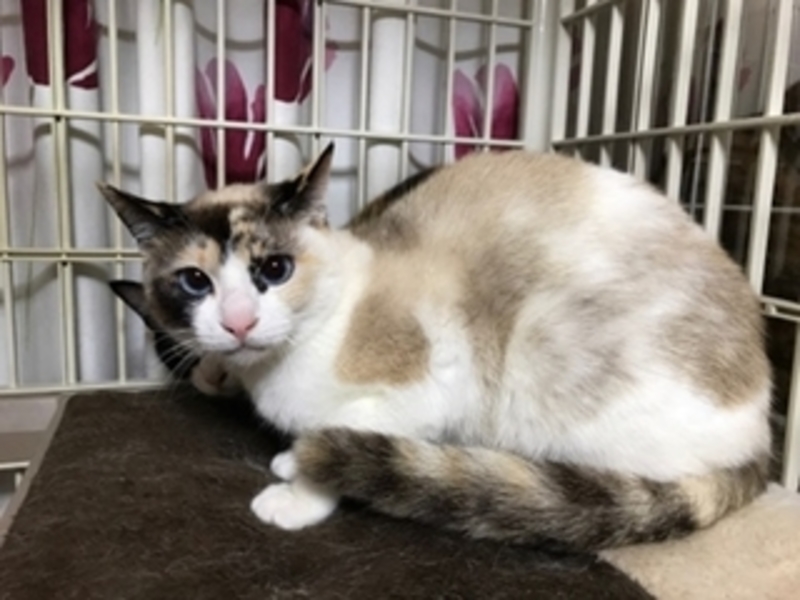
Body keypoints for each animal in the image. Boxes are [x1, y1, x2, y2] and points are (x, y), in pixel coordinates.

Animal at [100, 144, 771, 551]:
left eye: (274, 268)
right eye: (195, 281)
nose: (238, 323)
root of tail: (763, 435)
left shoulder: (433, 386)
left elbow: (338, 436)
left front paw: (297, 488)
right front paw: (293, 460)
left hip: (539, 367)